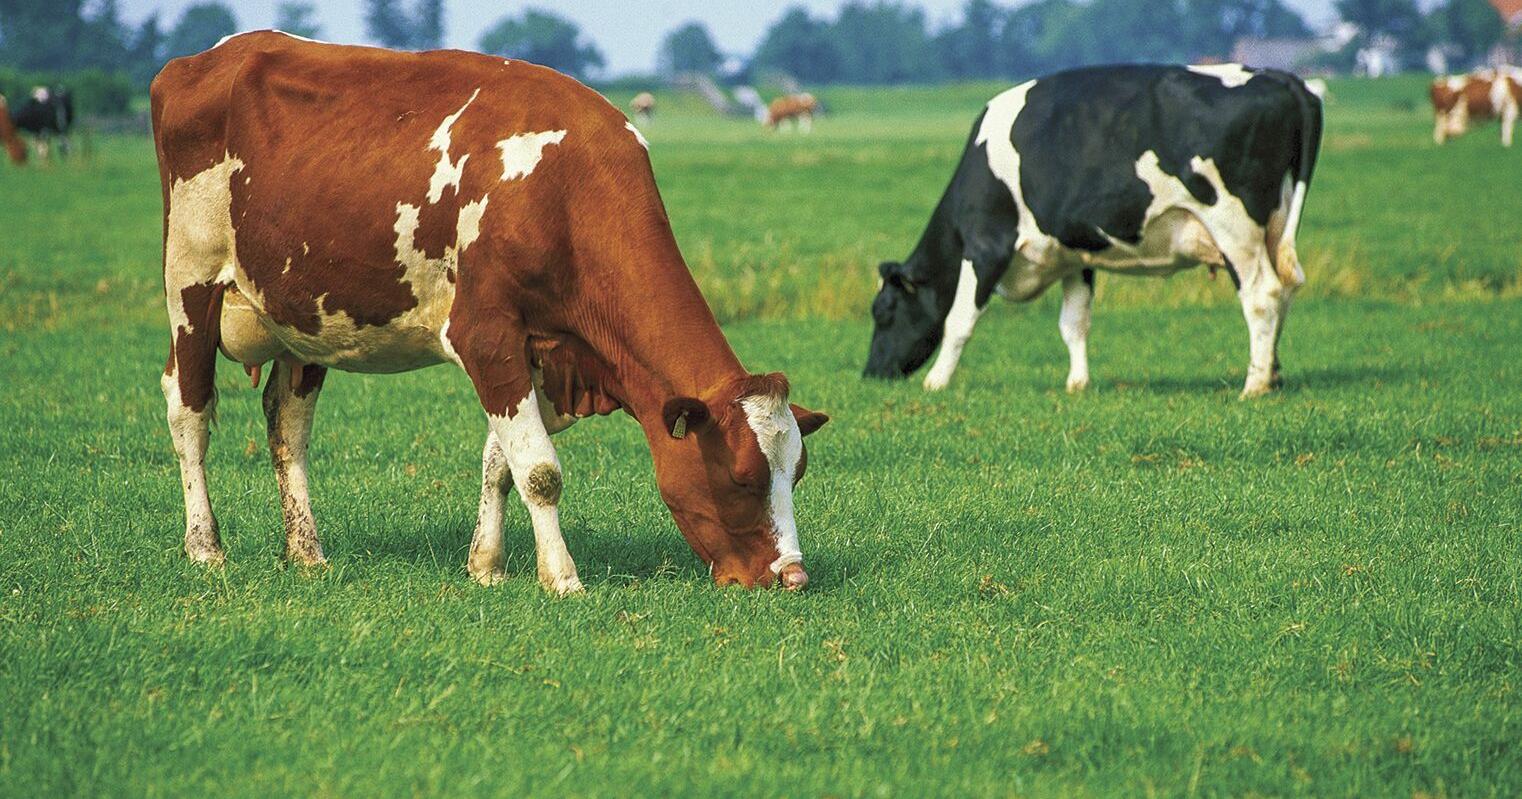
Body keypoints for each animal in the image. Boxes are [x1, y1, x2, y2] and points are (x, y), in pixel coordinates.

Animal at [152, 31, 828, 594]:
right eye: (742, 477)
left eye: (794, 474)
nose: (793, 576)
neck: (565, 189)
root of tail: (207, 58)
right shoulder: (485, 335)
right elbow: (540, 471)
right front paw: (563, 580)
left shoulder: (546, 352)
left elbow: (501, 463)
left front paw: (487, 566)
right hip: (190, 282)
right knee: (188, 408)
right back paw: (205, 547)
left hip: (303, 316)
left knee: (287, 424)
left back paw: (307, 551)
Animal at [864, 64, 1323, 399]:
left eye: (883, 311)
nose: (871, 373)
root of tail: (1278, 77)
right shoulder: (1073, 255)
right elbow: (1074, 323)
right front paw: (1077, 384)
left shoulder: (986, 246)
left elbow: (959, 319)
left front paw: (936, 382)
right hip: (1274, 224)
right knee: (1286, 288)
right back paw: (1273, 374)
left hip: (1233, 226)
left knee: (1262, 295)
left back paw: (1253, 385)